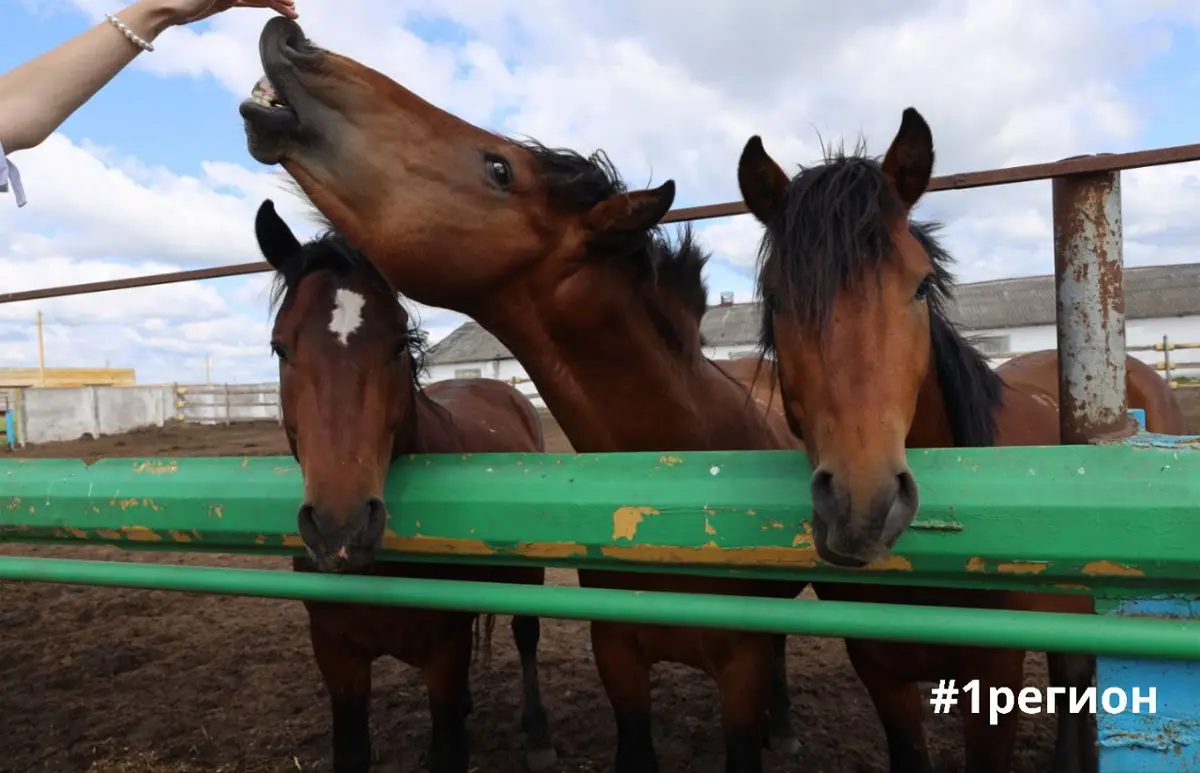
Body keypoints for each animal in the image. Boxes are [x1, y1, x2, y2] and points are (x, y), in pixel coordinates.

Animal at [255, 199, 557, 773]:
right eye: (279, 347)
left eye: (400, 344)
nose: (341, 529)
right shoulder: (337, 655)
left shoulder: (444, 651)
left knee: (526, 633)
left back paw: (536, 730)